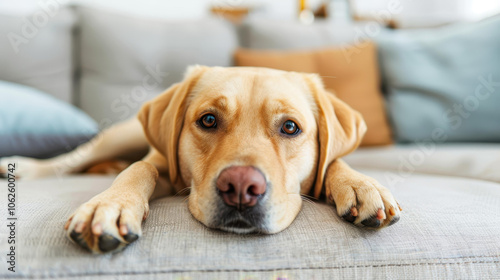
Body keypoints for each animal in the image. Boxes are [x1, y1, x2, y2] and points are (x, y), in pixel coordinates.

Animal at [0, 66, 402, 254]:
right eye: (208, 120)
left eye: (290, 127)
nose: (240, 187)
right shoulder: (161, 163)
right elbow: (141, 167)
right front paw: (110, 205)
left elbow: (335, 162)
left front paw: (361, 185)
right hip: (123, 135)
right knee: (74, 158)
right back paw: (21, 167)